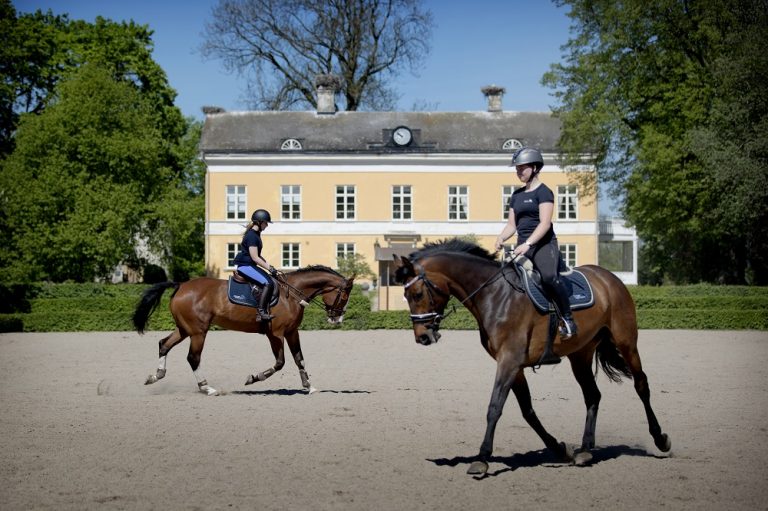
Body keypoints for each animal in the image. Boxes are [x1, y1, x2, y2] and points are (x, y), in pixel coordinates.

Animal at [133, 266, 354, 398]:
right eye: (344, 296)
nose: (337, 318)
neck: (291, 294)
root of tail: (181, 285)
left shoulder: (292, 332)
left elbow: (299, 359)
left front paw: (309, 386)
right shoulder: (276, 334)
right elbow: (280, 362)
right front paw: (254, 378)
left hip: (185, 329)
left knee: (164, 344)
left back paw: (155, 376)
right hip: (198, 332)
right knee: (193, 358)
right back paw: (207, 387)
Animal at [392, 240, 668, 476]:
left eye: (417, 294)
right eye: (405, 295)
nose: (423, 337)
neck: (495, 295)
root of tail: (608, 277)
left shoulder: (509, 361)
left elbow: (494, 407)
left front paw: (482, 459)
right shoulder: (514, 366)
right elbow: (528, 411)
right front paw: (559, 449)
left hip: (626, 342)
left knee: (641, 385)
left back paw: (660, 438)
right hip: (580, 354)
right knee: (593, 395)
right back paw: (586, 450)